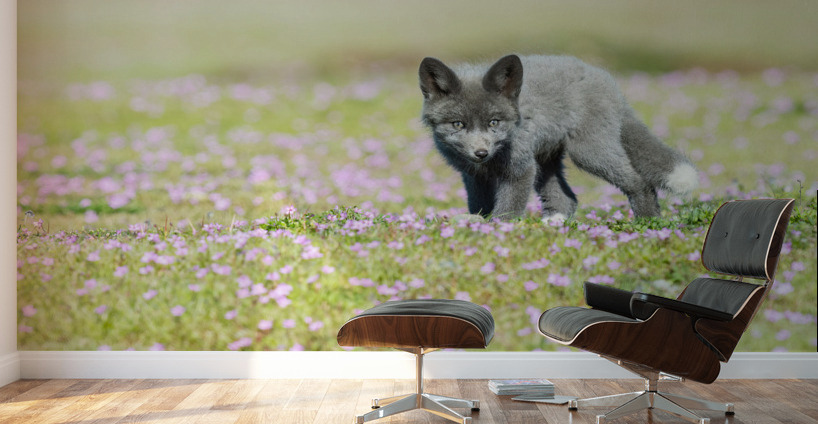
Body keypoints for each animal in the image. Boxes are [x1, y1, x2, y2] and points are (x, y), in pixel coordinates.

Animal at [419, 54, 698, 221]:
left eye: (493, 123)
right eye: (458, 124)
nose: (480, 153)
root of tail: (608, 83)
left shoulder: (521, 169)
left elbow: (508, 208)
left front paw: (499, 231)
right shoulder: (474, 175)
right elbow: (480, 205)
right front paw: (478, 224)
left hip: (588, 153)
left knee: (639, 182)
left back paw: (648, 225)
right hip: (547, 163)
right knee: (568, 200)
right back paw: (553, 225)